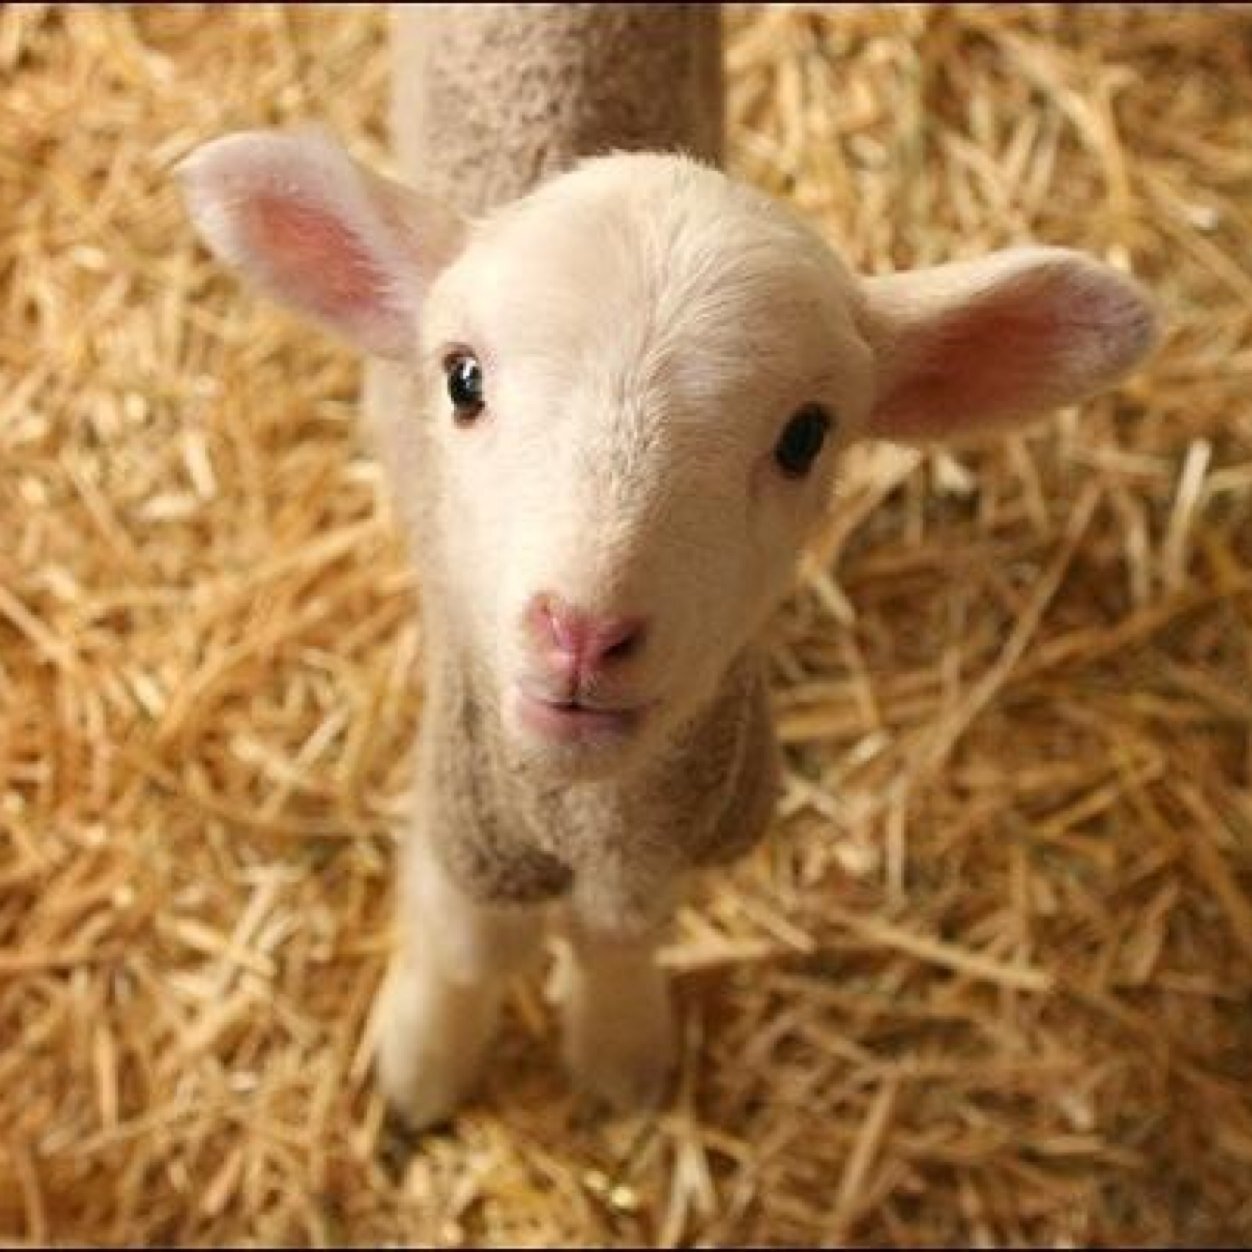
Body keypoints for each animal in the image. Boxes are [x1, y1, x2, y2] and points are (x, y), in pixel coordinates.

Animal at [176, 7, 1151, 1136]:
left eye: (805, 436)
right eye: (461, 378)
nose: (582, 633)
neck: (591, 816)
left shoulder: (666, 839)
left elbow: (619, 939)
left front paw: (620, 1054)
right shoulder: (467, 811)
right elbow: (466, 947)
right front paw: (421, 1067)